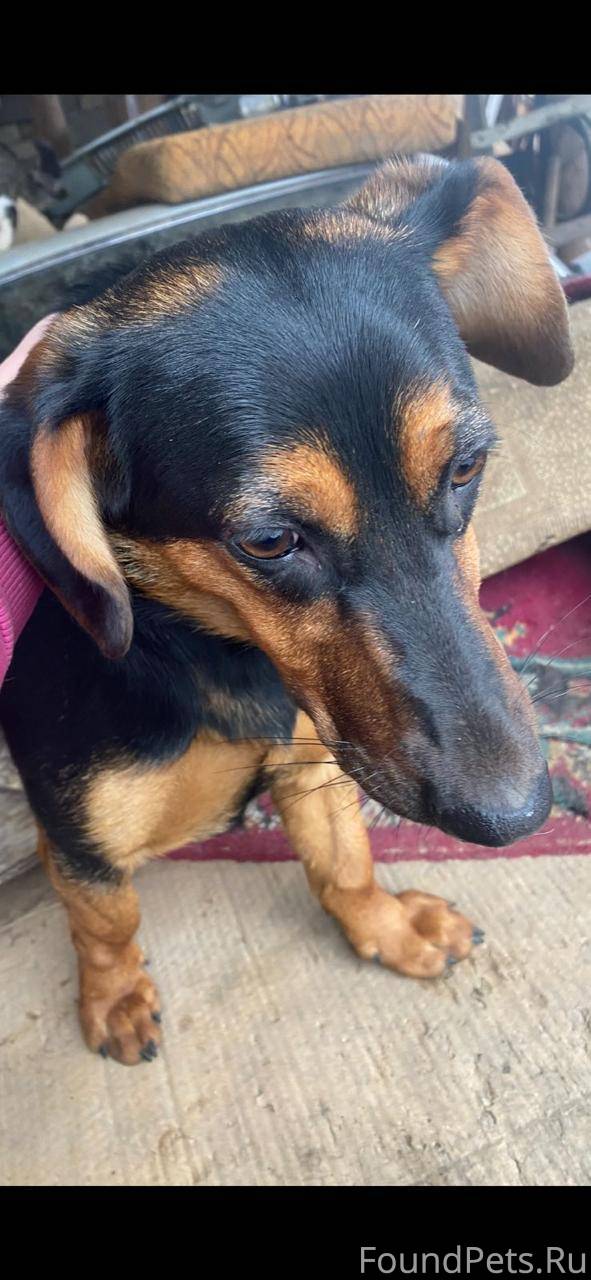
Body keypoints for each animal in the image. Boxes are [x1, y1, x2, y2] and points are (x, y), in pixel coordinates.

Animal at [0, 155, 574, 1066]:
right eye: (268, 541)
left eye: (465, 468)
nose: (517, 815)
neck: (216, 653)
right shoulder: (83, 840)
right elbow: (107, 924)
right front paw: (115, 997)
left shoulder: (314, 763)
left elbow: (343, 863)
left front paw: (387, 927)